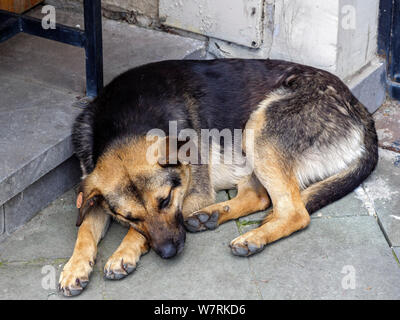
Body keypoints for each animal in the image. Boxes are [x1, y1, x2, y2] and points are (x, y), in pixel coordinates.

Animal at [57, 58, 376, 296]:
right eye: (129, 216)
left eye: (165, 201)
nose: (169, 252)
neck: (126, 123)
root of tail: (360, 109)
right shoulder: (94, 193)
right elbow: (85, 229)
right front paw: (74, 266)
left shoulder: (194, 193)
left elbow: (135, 233)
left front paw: (124, 251)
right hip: (249, 145)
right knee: (260, 197)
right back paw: (210, 217)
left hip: (259, 128)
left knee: (295, 212)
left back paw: (252, 238)